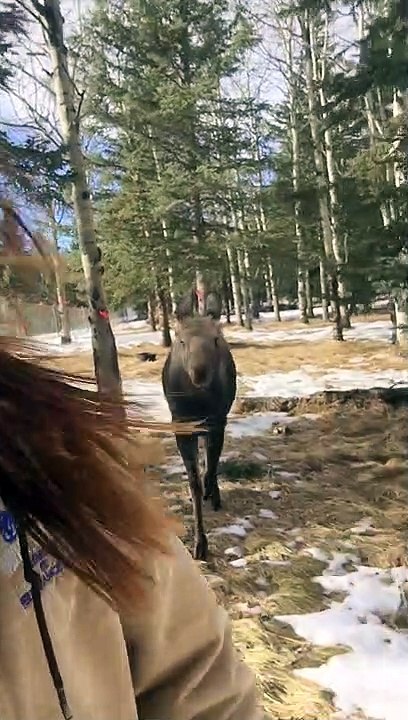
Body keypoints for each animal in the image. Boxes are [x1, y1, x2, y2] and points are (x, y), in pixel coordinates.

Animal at [162, 289, 237, 561]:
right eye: (181, 340)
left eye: (215, 339)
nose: (200, 372)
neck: (198, 403)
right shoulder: (180, 423)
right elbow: (193, 481)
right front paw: (200, 543)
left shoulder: (218, 420)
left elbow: (212, 466)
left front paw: (211, 492)